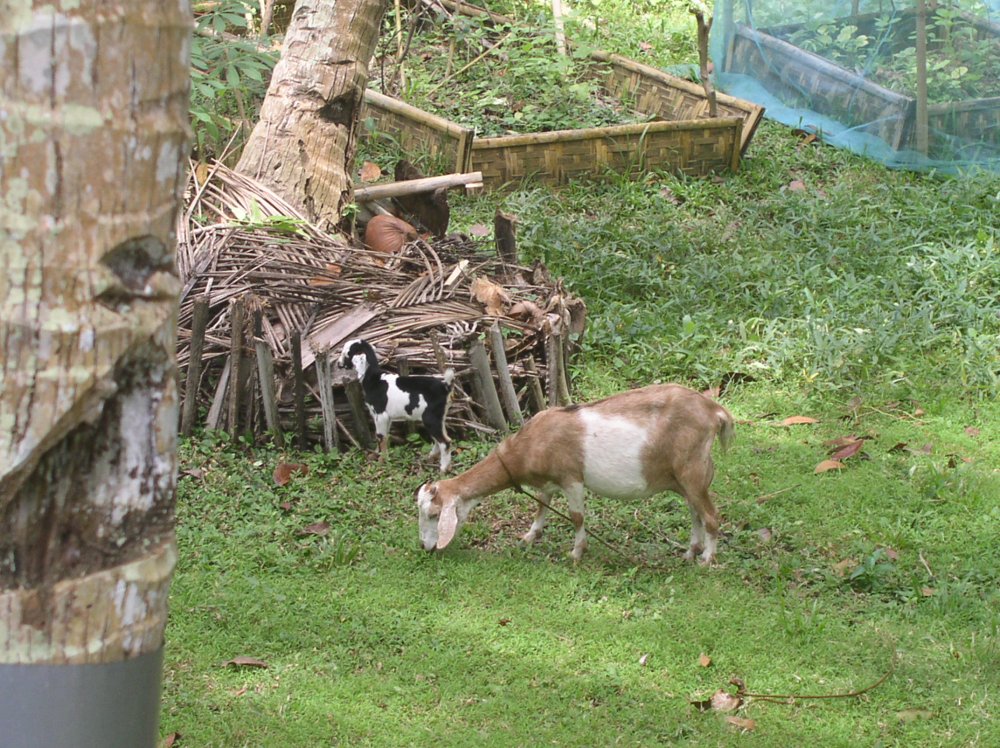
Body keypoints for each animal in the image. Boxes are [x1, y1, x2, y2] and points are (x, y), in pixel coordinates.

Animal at [414, 382, 736, 564]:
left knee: (710, 515)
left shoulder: (572, 479)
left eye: (434, 514)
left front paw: (576, 553)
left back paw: (707, 559)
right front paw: (529, 537)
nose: (425, 547)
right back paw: (690, 552)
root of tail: (715, 411)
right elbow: (541, 507)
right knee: (695, 512)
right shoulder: (548, 482)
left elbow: (576, 517)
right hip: (682, 477)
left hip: (692, 470)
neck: (529, 446)